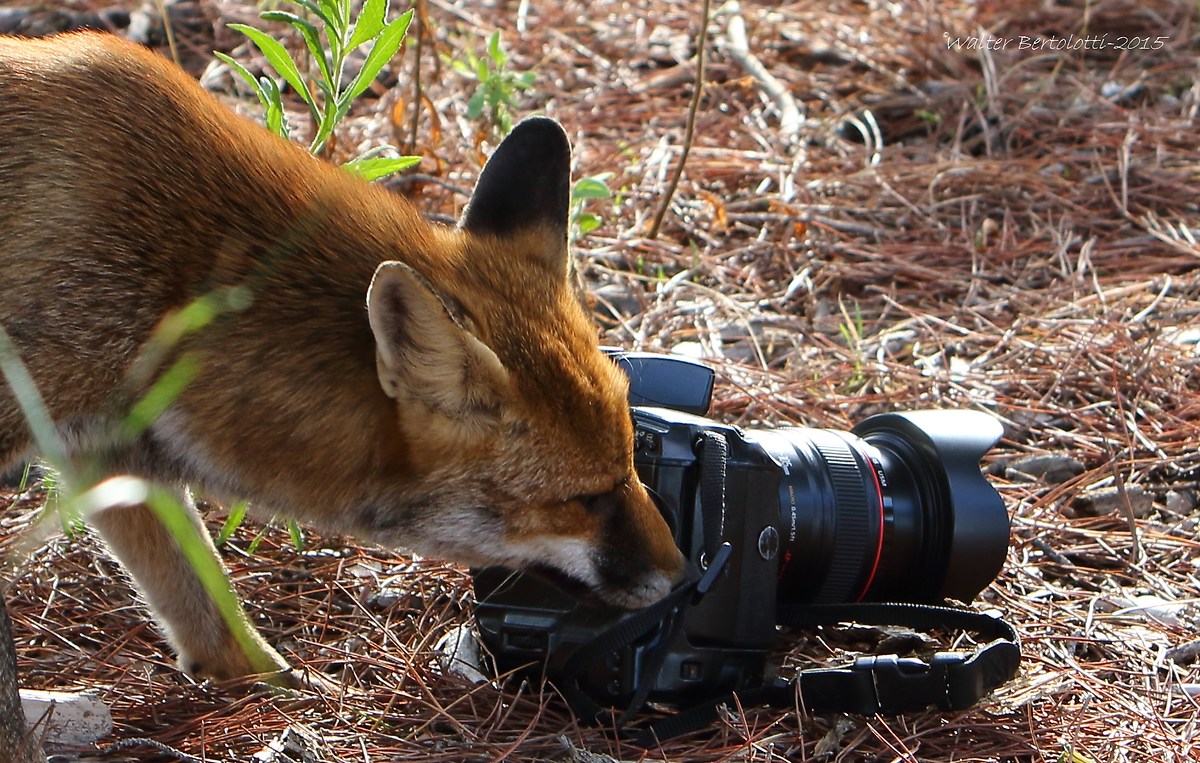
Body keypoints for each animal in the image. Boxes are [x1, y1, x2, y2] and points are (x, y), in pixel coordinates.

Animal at [0, 31, 686, 685]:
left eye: (631, 464)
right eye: (587, 499)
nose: (683, 573)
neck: (170, 285)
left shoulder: (109, 449)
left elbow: (206, 602)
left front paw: (273, 690)